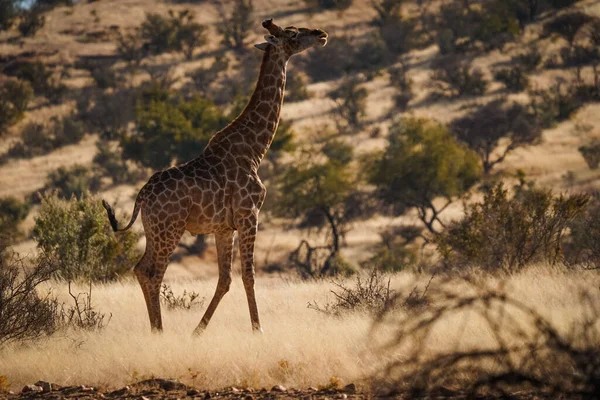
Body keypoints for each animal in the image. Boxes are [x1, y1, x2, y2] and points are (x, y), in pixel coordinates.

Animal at [103, 18, 328, 332]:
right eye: (293, 33)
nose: (321, 34)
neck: (255, 149)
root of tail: (141, 196)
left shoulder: (224, 228)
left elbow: (225, 279)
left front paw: (197, 332)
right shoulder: (249, 215)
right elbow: (248, 275)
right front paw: (258, 330)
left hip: (154, 229)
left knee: (140, 268)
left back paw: (157, 329)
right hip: (170, 228)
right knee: (152, 272)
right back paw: (159, 332)